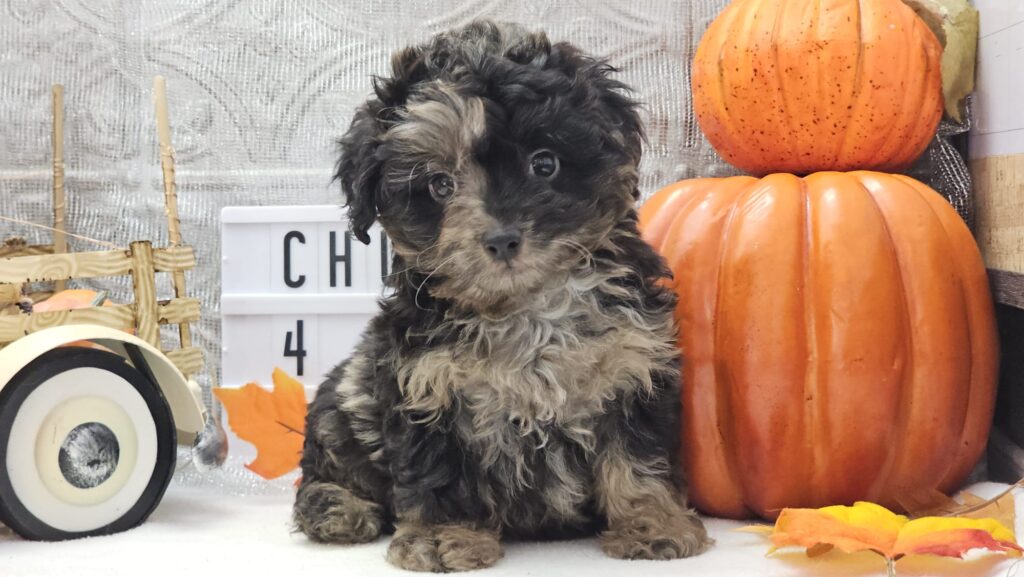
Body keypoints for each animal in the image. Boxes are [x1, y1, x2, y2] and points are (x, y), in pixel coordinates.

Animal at [294, 20, 712, 569]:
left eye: (544, 164)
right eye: (440, 184)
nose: (501, 239)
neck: (524, 306)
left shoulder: (633, 365)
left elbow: (639, 457)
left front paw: (653, 523)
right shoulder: (425, 386)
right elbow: (438, 473)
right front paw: (440, 537)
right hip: (344, 402)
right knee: (329, 461)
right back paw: (337, 507)